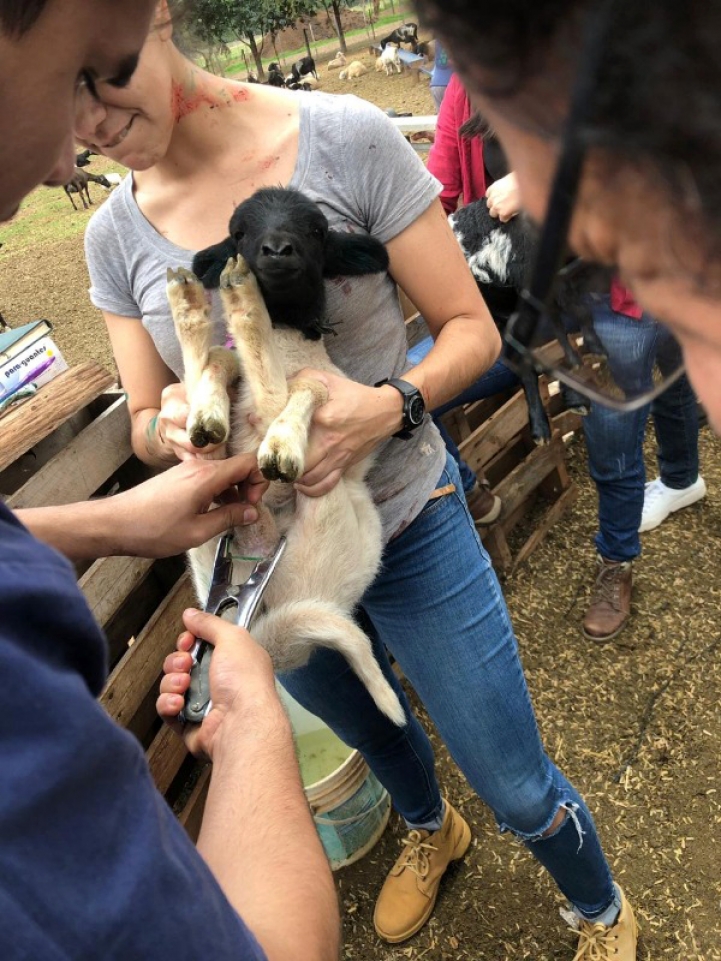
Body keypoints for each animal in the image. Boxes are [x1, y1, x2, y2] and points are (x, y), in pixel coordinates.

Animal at [165, 189, 408, 728]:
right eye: (237, 231)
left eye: (318, 229)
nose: (275, 251)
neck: (290, 339)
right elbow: (221, 363)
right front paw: (209, 407)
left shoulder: (305, 404)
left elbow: (300, 386)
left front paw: (281, 445)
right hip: (208, 529)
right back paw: (190, 302)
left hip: (320, 519)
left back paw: (236, 302)